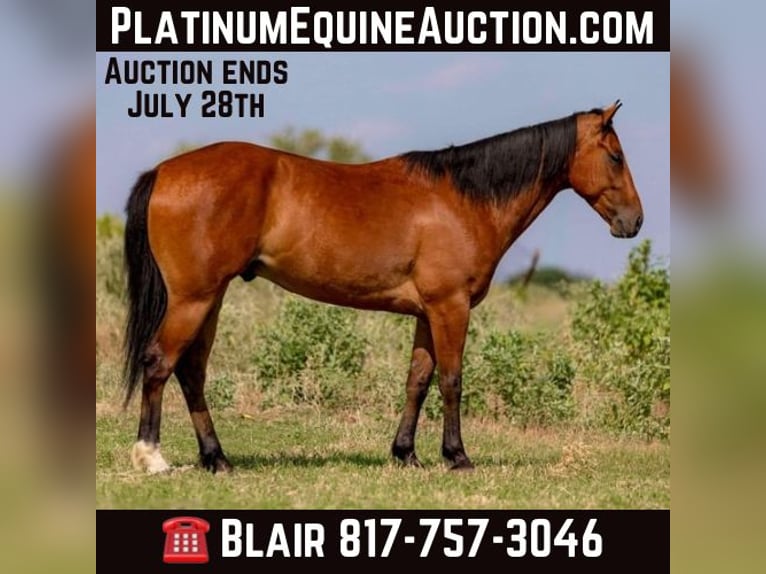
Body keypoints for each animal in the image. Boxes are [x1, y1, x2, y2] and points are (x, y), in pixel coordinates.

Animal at [123, 101, 643, 474]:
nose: (634, 221)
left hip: (210, 299)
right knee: (159, 362)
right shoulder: (450, 307)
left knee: (191, 371)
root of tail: (165, 171)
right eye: (615, 156)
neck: (462, 200)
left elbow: (417, 381)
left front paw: (406, 453)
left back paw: (217, 458)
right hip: (193, 299)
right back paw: (152, 457)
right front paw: (457, 456)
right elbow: (452, 380)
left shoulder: (427, 313)